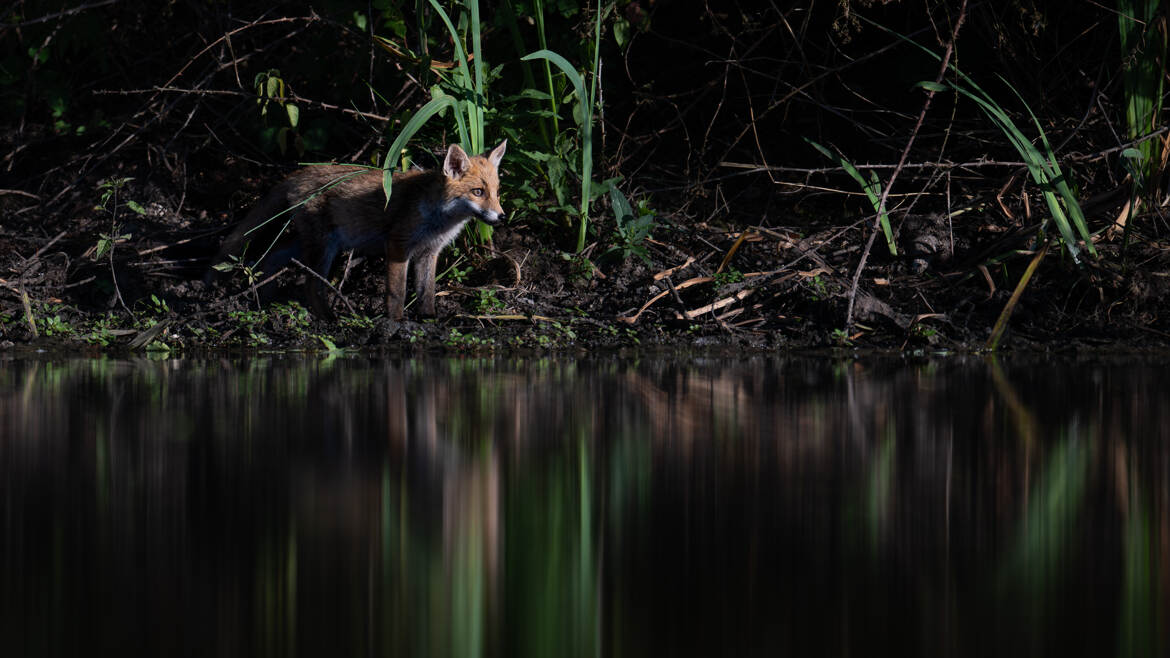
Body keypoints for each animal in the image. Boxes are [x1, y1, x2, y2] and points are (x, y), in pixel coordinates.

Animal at [213, 141, 507, 320]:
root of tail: (300, 173)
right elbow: (397, 291)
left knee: (273, 257)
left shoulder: (429, 252)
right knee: (311, 285)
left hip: (307, 242)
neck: (438, 218)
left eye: (496, 192)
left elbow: (426, 291)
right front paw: (396, 323)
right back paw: (328, 318)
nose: (502, 217)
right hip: (324, 247)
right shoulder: (397, 244)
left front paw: (428, 320)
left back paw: (265, 300)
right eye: (477, 192)